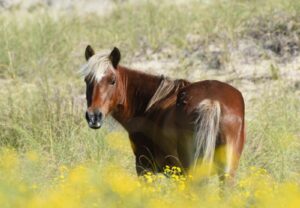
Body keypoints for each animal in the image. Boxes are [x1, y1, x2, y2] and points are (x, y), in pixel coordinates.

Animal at [81, 45, 244, 185]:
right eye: (87, 80)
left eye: (112, 81)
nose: (94, 116)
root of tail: (212, 101)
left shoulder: (145, 168)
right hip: (226, 174)